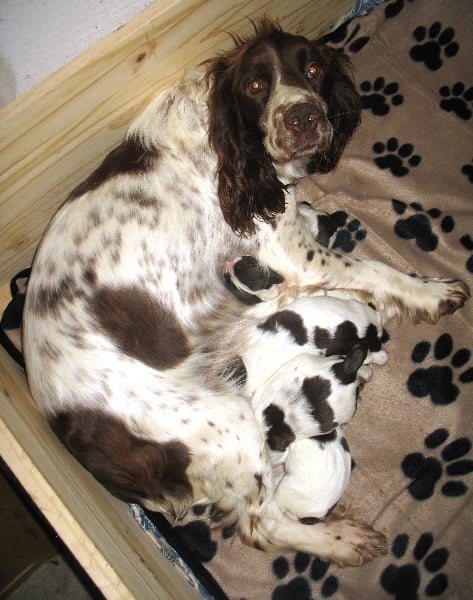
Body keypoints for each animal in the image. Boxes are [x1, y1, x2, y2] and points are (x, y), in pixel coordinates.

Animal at [24, 19, 466, 568]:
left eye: (312, 69)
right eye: (256, 85)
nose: (302, 117)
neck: (226, 138)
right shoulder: (289, 249)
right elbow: (376, 270)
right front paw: (430, 293)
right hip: (226, 421)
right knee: (262, 524)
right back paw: (342, 540)